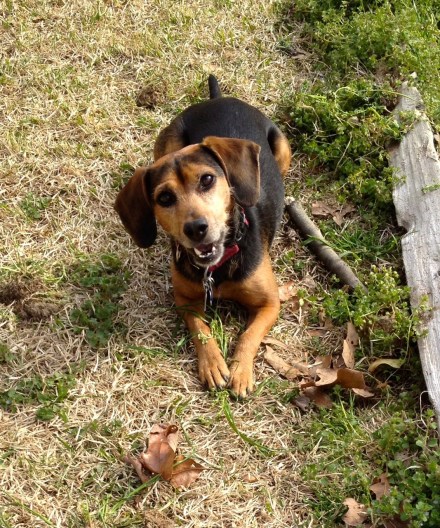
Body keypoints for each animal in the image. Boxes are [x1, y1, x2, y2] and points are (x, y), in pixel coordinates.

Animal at [115, 74, 290, 396]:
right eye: (165, 198)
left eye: (207, 179)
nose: (196, 228)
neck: (217, 269)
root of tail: (218, 99)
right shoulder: (184, 299)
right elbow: (201, 329)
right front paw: (213, 364)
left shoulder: (270, 303)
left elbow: (249, 335)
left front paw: (241, 372)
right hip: (167, 140)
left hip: (283, 149)